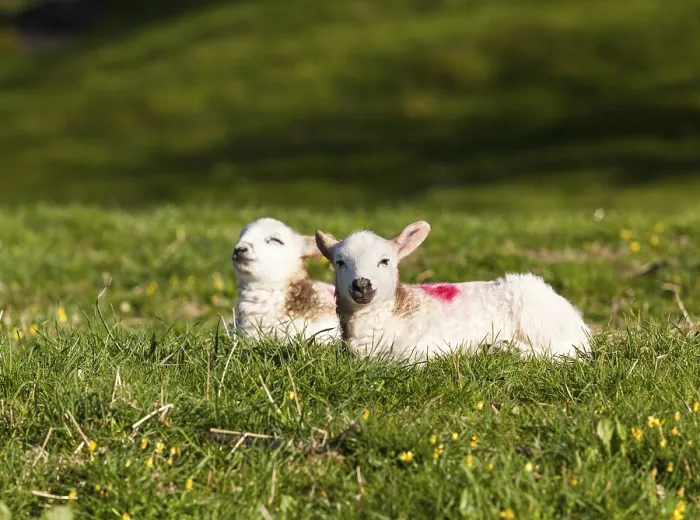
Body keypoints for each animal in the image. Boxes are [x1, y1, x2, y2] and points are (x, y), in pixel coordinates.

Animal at [314, 221, 590, 361]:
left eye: (385, 261)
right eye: (339, 262)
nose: (362, 284)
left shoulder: (425, 348)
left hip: (540, 318)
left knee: (565, 351)